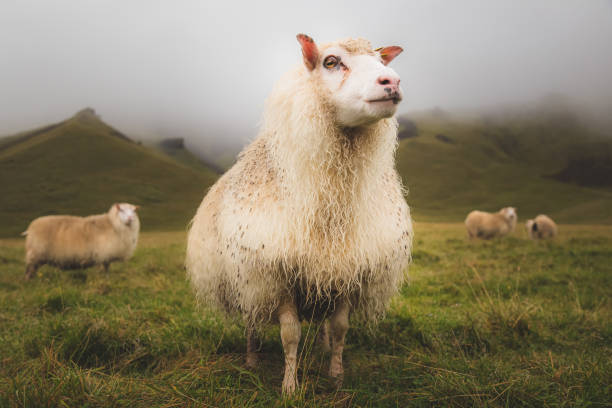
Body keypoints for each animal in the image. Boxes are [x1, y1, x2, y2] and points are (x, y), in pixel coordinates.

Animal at [184, 32, 414, 392]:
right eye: (331, 62)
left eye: (381, 61)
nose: (391, 82)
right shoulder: (277, 278)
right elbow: (290, 336)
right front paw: (290, 386)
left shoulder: (347, 273)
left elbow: (340, 328)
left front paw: (336, 374)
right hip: (247, 282)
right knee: (251, 321)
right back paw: (251, 358)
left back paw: (320, 347)